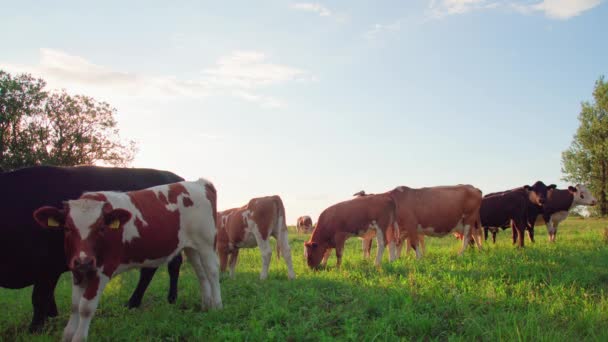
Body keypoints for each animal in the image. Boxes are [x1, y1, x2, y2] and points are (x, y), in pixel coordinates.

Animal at [0, 166, 185, 332]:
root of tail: (174, 176)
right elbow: (48, 299)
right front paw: (52, 319)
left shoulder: (48, 266)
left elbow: (39, 298)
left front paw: (35, 328)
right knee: (152, 270)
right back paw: (135, 303)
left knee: (172, 266)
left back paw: (170, 299)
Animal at [31, 179, 221, 342]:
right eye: (68, 228)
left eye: (101, 228)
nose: (84, 261)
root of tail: (199, 182)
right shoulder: (76, 270)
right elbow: (74, 305)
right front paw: (68, 334)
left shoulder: (102, 269)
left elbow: (85, 307)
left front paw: (78, 338)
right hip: (191, 246)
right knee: (201, 273)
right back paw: (205, 305)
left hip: (207, 243)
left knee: (212, 272)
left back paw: (217, 307)